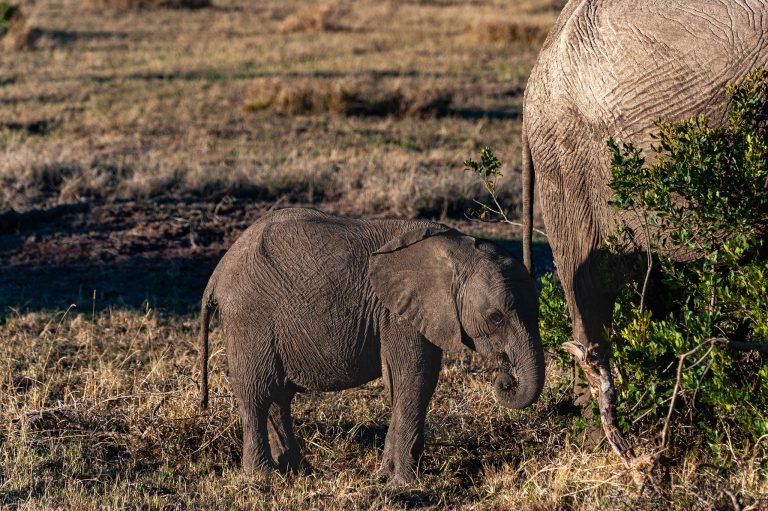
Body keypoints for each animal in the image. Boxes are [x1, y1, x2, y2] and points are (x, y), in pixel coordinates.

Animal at [198, 208, 544, 484]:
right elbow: (413, 378)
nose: (505, 378)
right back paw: (263, 477)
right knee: (256, 394)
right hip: (248, 318)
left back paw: (298, 472)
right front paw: (404, 481)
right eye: (496, 317)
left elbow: (414, 382)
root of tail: (217, 273)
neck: (457, 251)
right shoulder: (397, 313)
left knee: (276, 396)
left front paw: (390, 474)